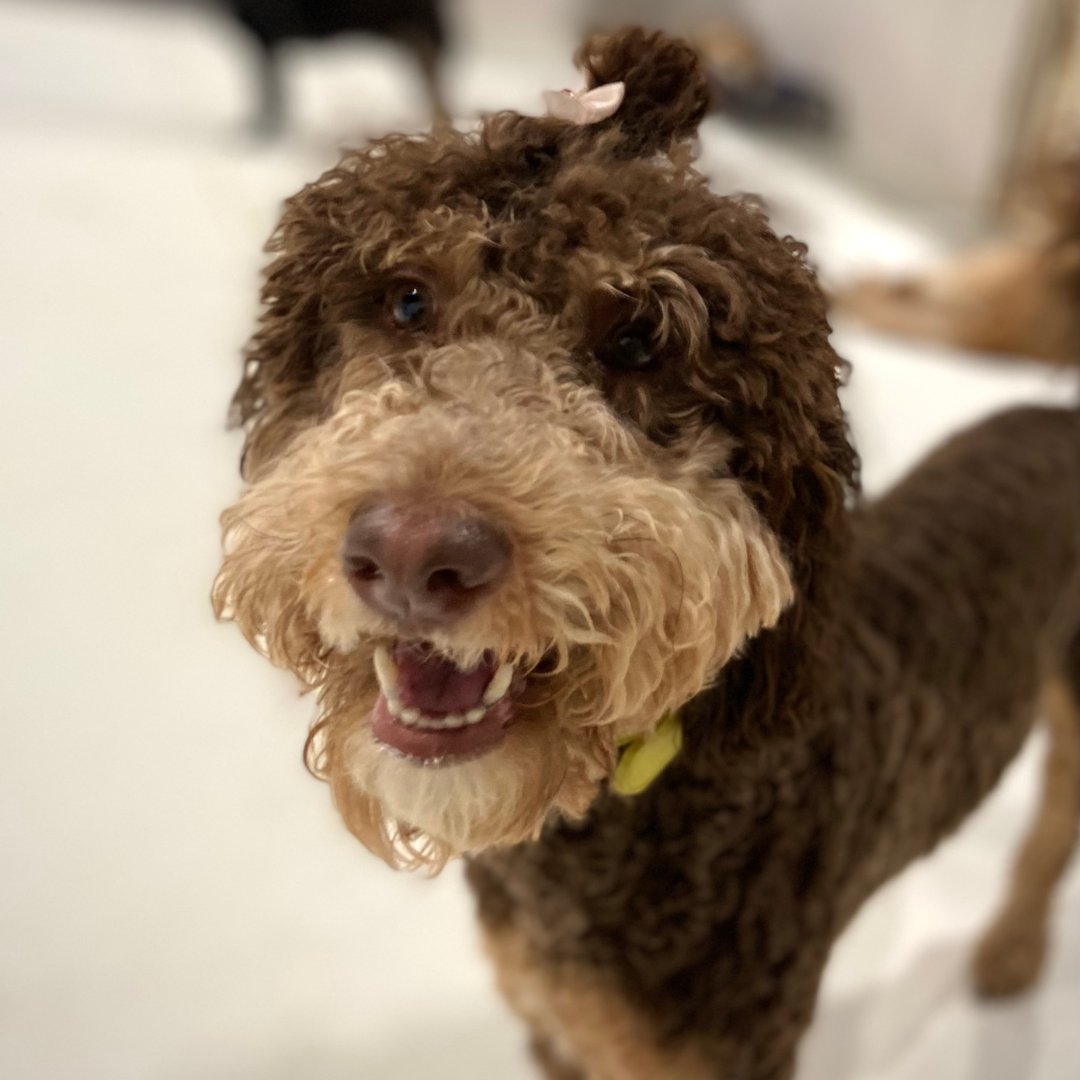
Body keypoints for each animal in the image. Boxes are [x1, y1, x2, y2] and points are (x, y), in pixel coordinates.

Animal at [212, 27, 1080, 1080]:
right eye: (407, 301)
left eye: (638, 342)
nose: (414, 556)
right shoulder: (555, 1030)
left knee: (1052, 833)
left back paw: (1014, 947)